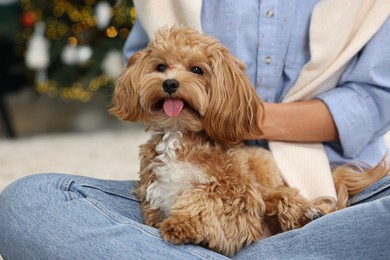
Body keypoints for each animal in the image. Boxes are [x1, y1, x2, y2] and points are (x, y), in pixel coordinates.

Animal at [110, 26, 390, 256]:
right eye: (160, 67)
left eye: (196, 69)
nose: (169, 83)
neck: (180, 134)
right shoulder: (154, 199)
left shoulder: (236, 195)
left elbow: (205, 200)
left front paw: (181, 225)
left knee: (287, 196)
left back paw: (309, 212)